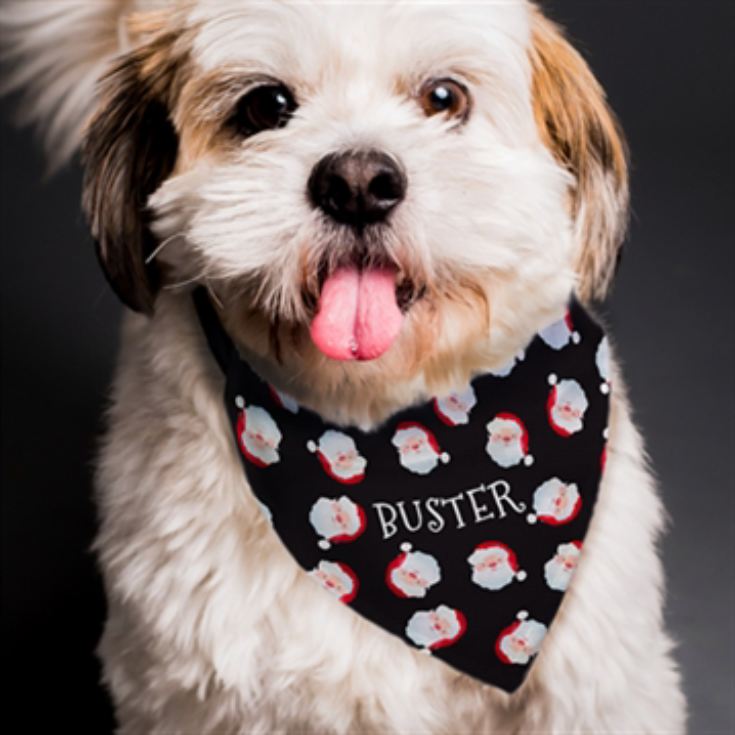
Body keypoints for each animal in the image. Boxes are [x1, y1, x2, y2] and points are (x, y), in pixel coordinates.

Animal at [2, 1, 688, 732]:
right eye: (266, 106)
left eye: (443, 97)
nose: (357, 182)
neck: (380, 431)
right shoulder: (189, 693)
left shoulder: (599, 689)